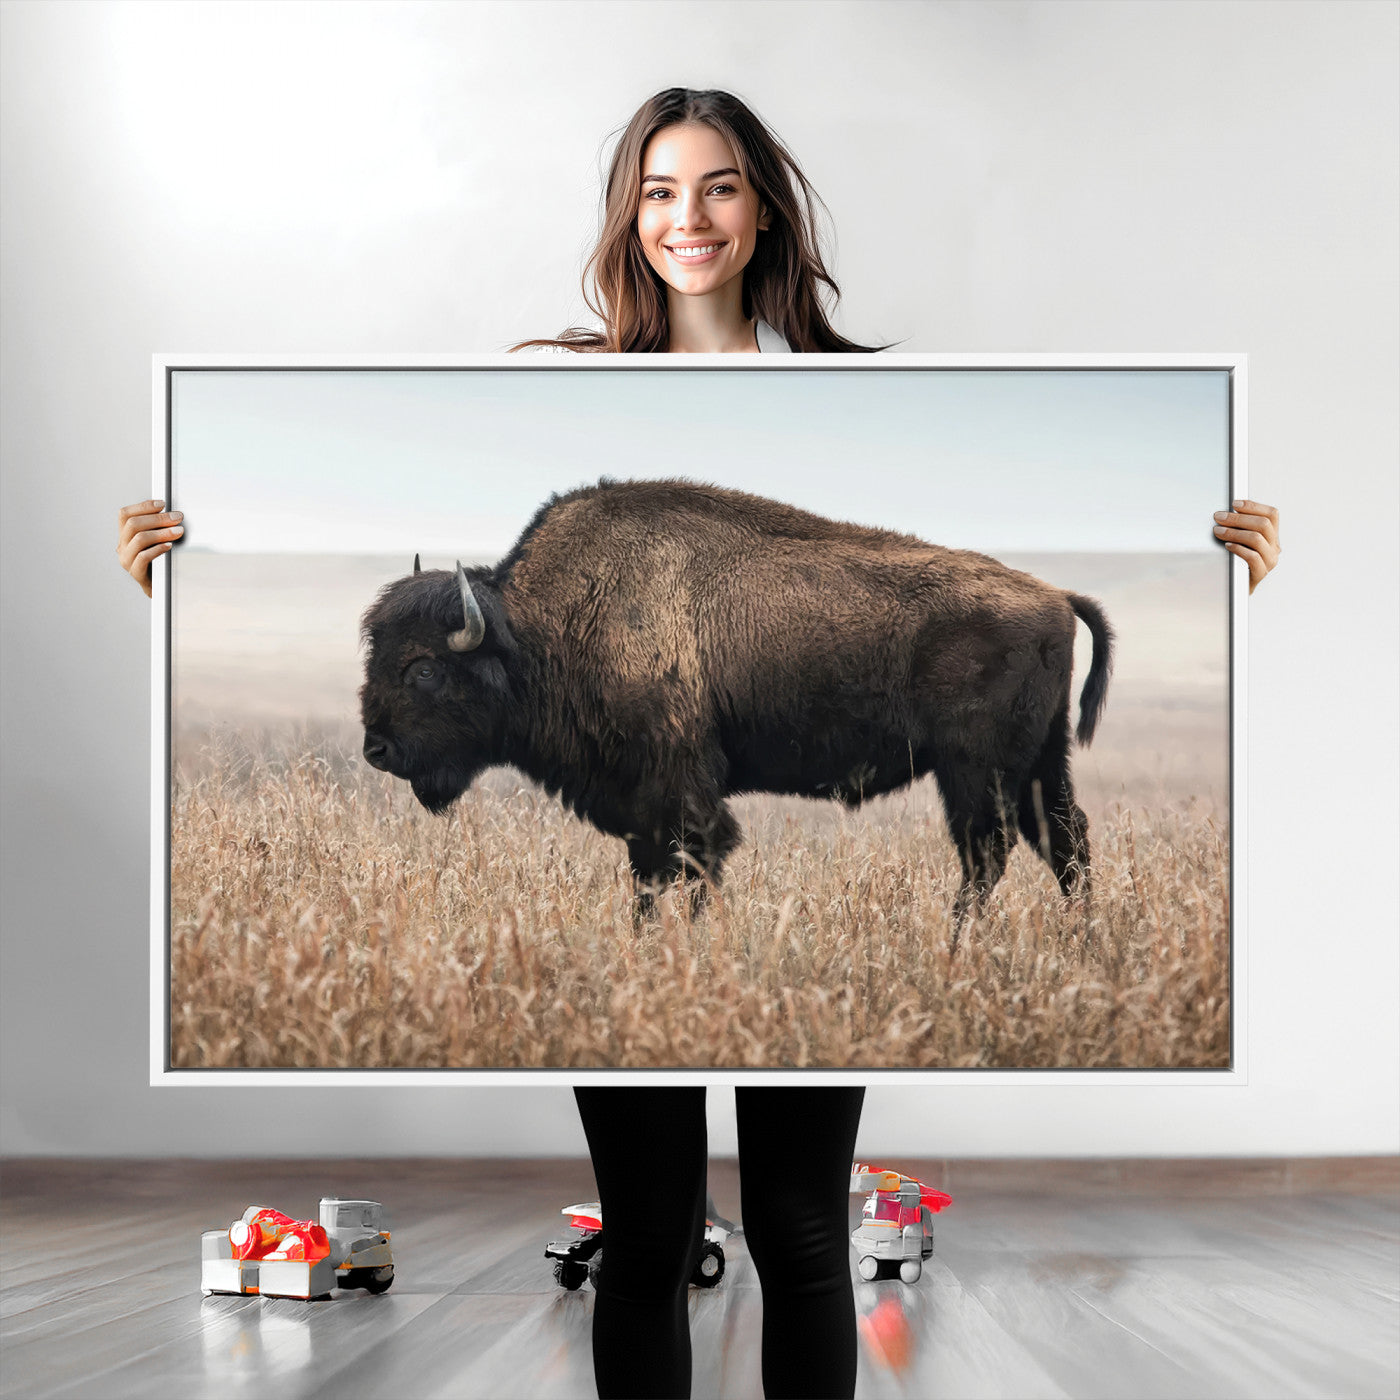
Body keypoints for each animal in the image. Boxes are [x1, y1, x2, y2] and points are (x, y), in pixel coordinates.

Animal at [359, 478, 1113, 931]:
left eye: (423, 668)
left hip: (975, 771)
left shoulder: (681, 792)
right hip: (1039, 763)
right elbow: (649, 877)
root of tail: (1054, 595)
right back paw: (1079, 942)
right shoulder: (642, 808)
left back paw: (957, 944)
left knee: (988, 853)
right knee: (1064, 842)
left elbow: (694, 864)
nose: (376, 749)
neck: (541, 628)